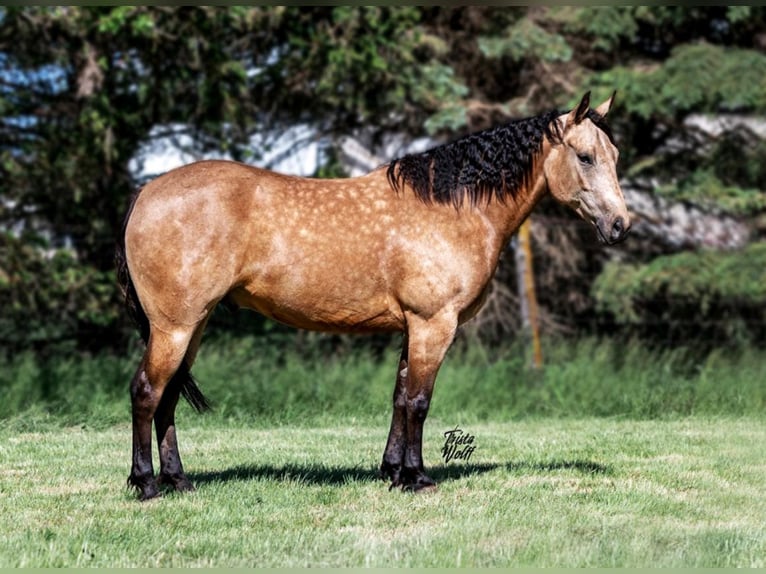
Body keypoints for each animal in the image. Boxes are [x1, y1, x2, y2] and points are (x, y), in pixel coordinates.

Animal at [114, 90, 632, 500]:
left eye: (614, 154)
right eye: (585, 157)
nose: (620, 226)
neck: (452, 208)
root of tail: (146, 192)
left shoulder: (412, 328)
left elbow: (400, 397)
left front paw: (394, 473)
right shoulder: (433, 324)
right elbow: (419, 401)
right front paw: (418, 478)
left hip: (194, 324)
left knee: (168, 397)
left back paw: (179, 481)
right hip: (174, 326)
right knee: (147, 391)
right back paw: (146, 484)